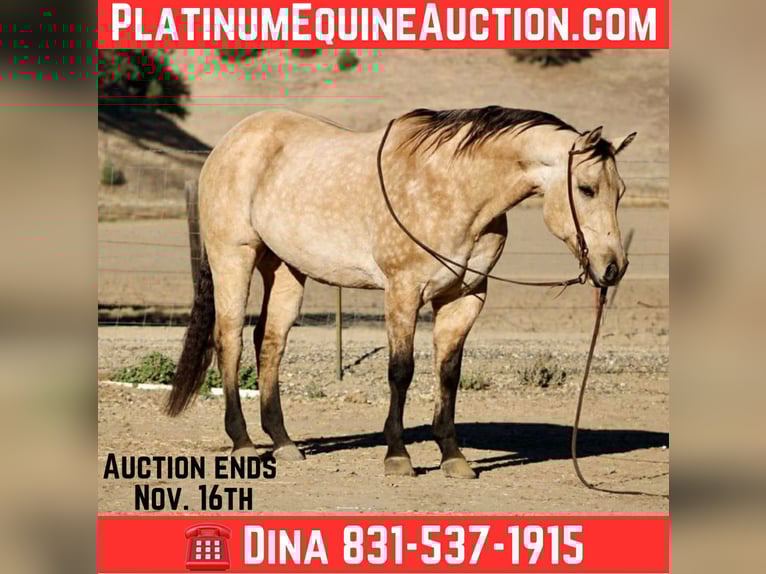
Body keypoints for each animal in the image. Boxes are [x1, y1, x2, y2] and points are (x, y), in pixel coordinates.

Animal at [165, 106, 636, 479]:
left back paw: (283, 442)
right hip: (235, 258)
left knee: (270, 343)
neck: (454, 188)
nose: (613, 268)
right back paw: (243, 442)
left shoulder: (465, 298)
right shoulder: (403, 292)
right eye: (586, 189)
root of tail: (229, 143)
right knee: (230, 340)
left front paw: (452, 456)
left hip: (284, 269)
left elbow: (448, 374)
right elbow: (401, 371)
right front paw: (398, 455)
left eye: (620, 191)